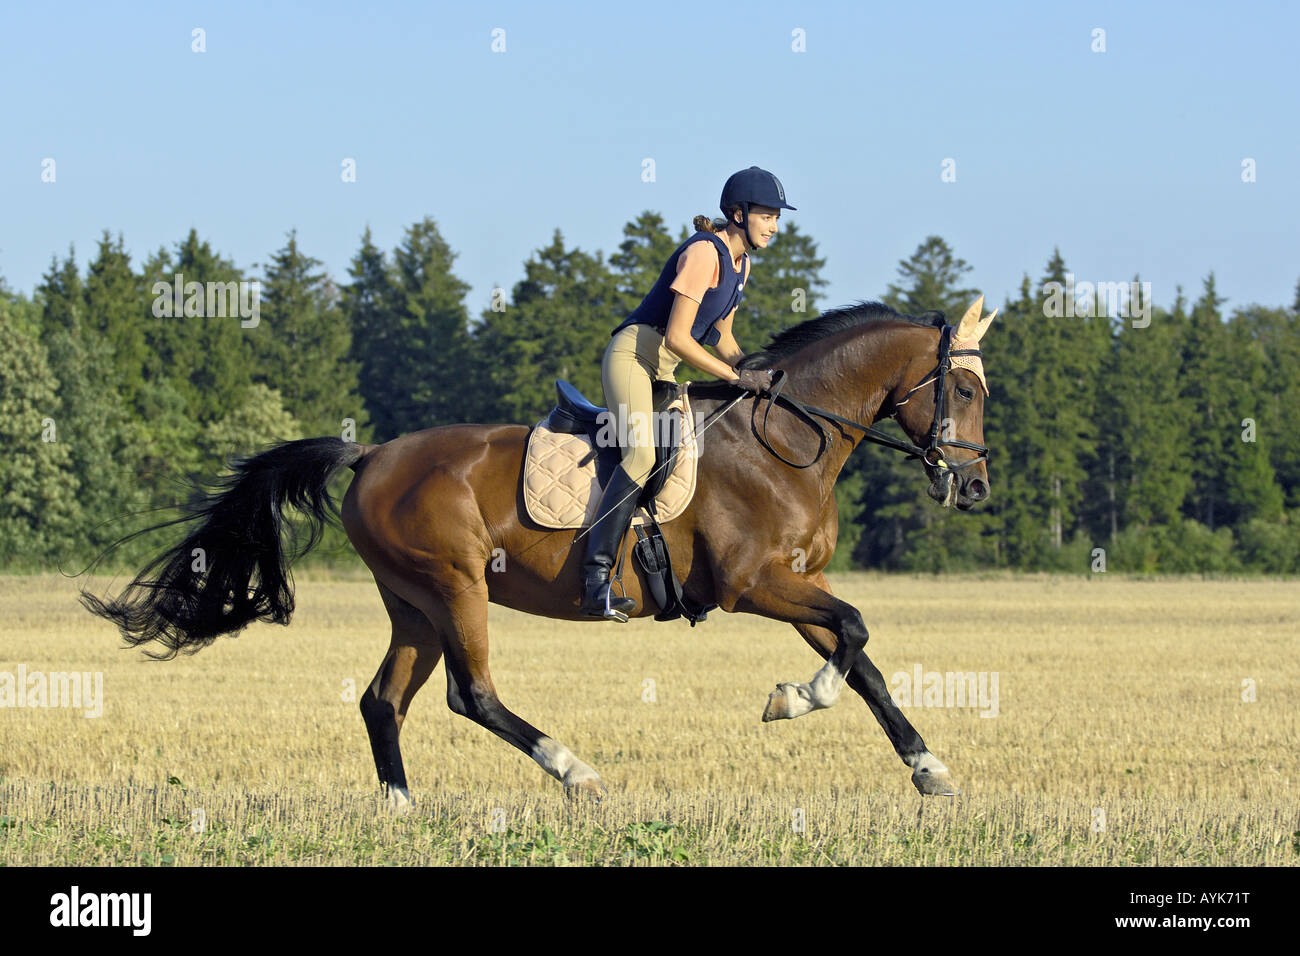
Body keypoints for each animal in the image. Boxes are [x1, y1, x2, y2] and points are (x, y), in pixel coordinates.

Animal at [81, 299, 993, 806]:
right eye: (966, 388)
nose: (975, 487)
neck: (789, 438)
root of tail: (371, 454)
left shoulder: (798, 580)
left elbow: (863, 659)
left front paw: (929, 769)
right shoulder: (754, 584)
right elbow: (858, 634)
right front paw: (792, 699)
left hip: (412, 602)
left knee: (384, 700)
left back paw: (401, 810)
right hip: (456, 587)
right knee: (471, 694)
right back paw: (575, 772)